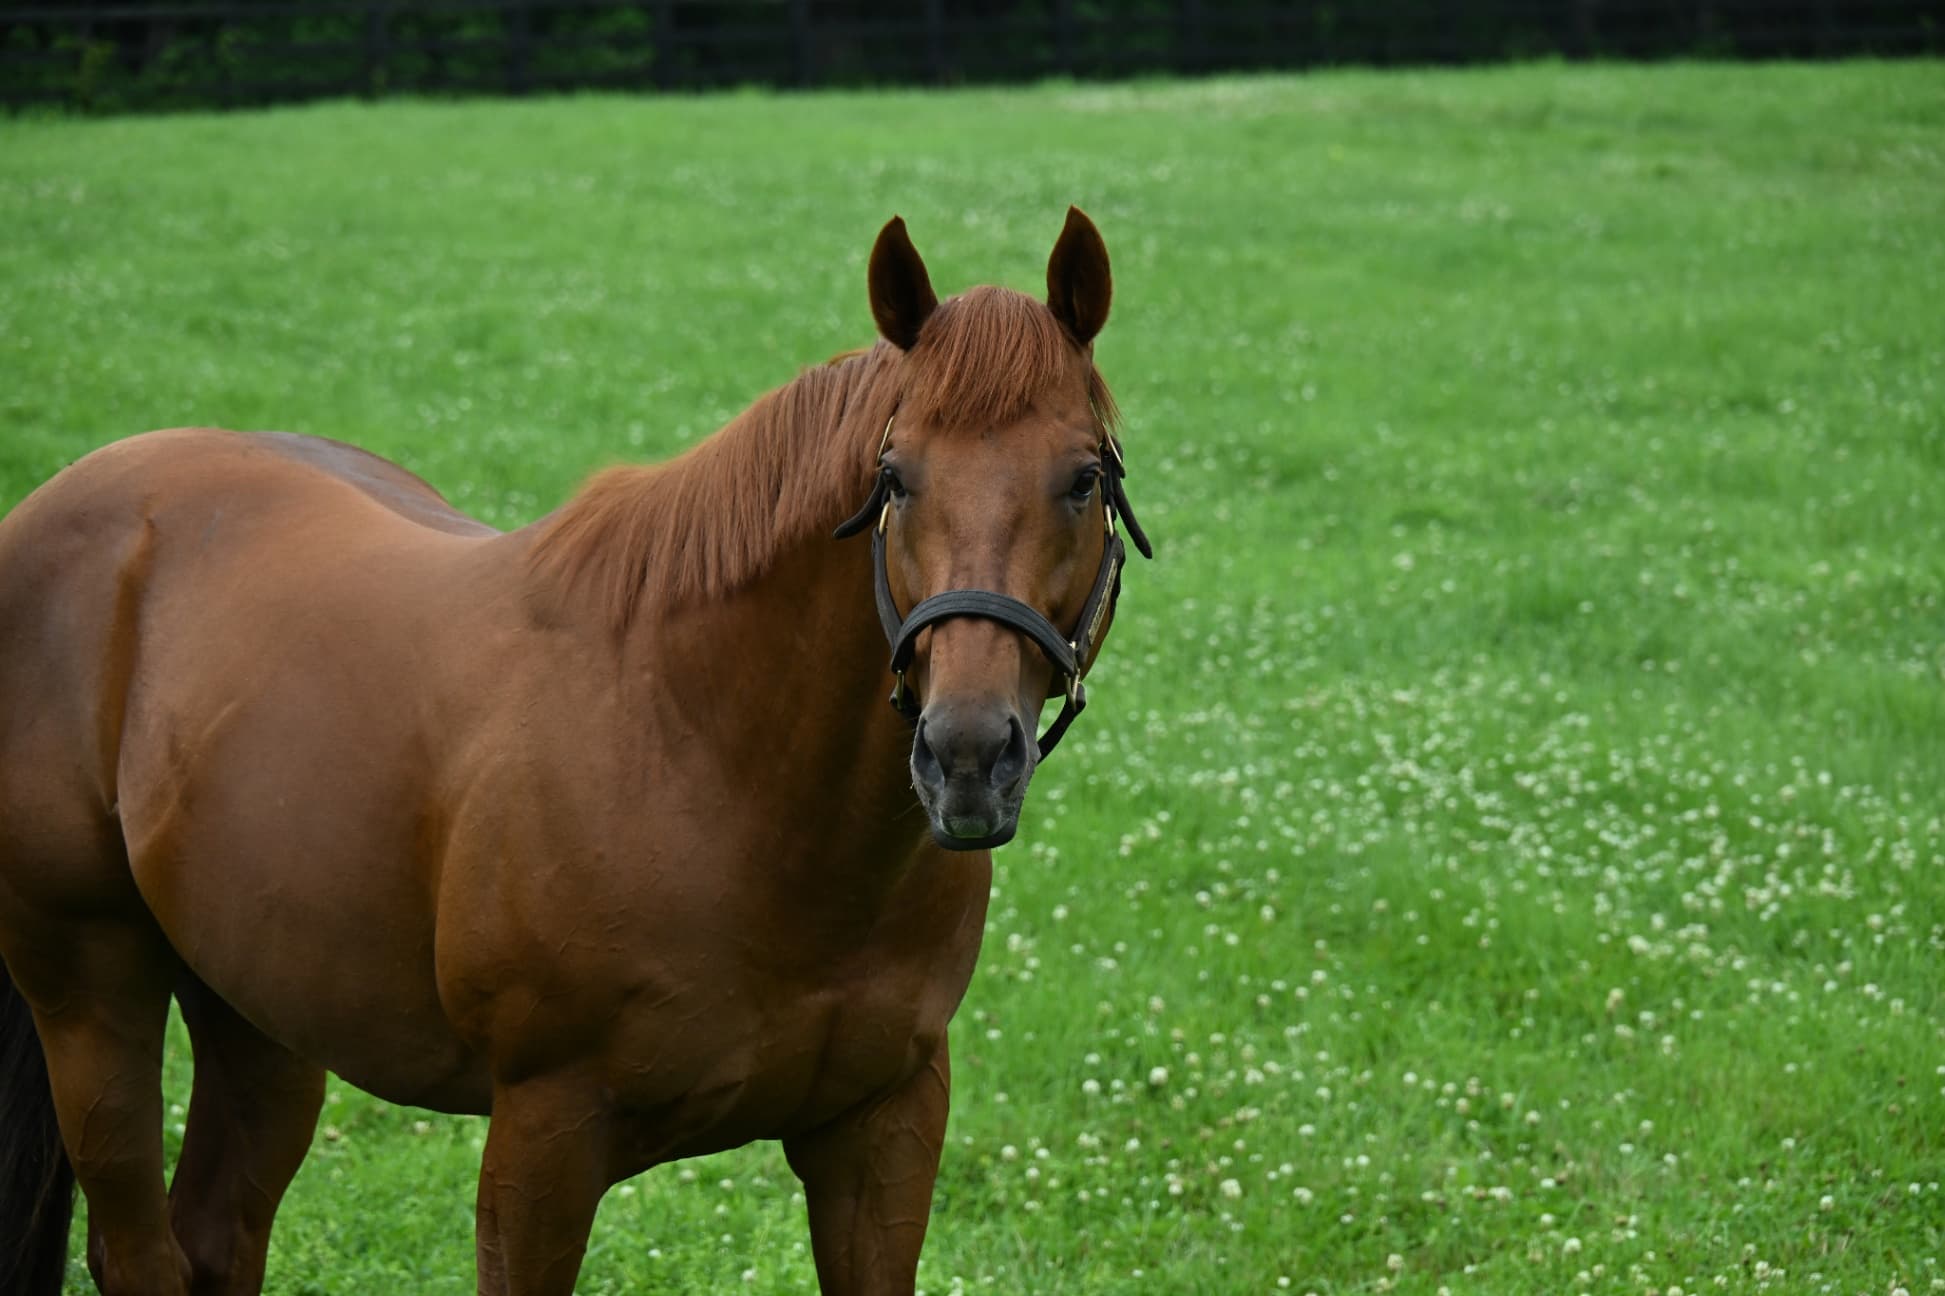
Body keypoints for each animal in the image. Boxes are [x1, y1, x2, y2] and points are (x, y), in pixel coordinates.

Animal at [0, 207, 1149, 1296]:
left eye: (1083, 479)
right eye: (896, 478)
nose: (966, 756)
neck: (707, 758)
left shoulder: (882, 1128)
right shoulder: (541, 1144)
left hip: (261, 1014)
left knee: (216, 1239)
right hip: (91, 991)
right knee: (136, 1251)